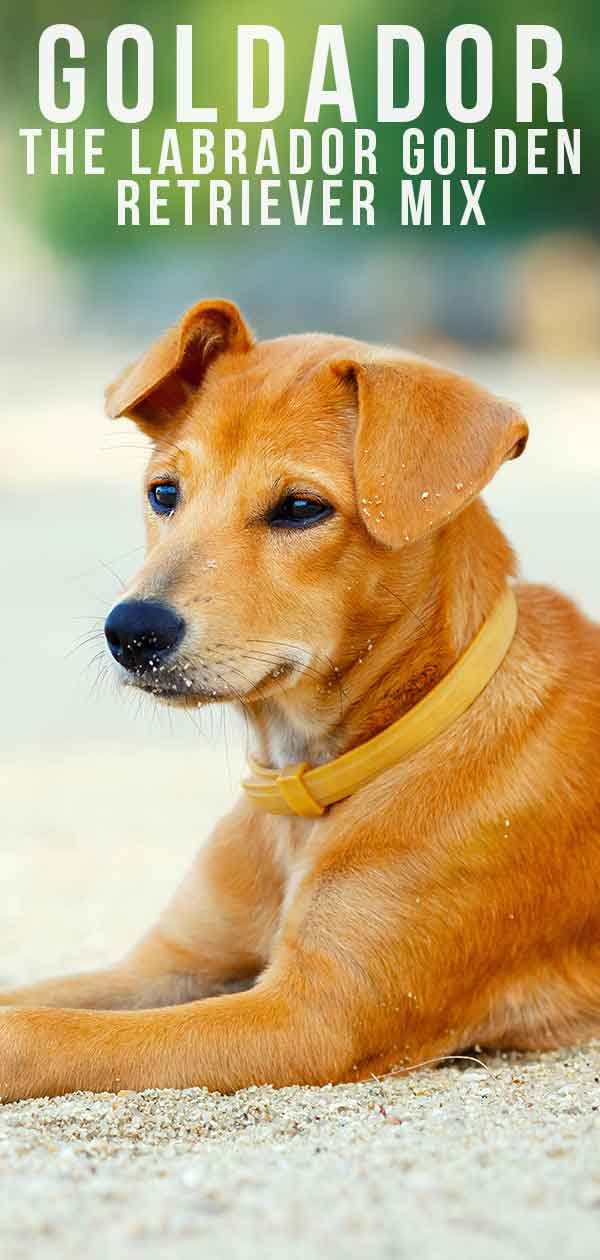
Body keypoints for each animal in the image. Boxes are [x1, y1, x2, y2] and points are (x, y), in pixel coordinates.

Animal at [1, 297, 600, 1103]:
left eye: (300, 508)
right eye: (164, 493)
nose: (130, 632)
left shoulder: (313, 1014)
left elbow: (49, 1032)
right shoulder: (171, 966)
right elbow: (39, 999)